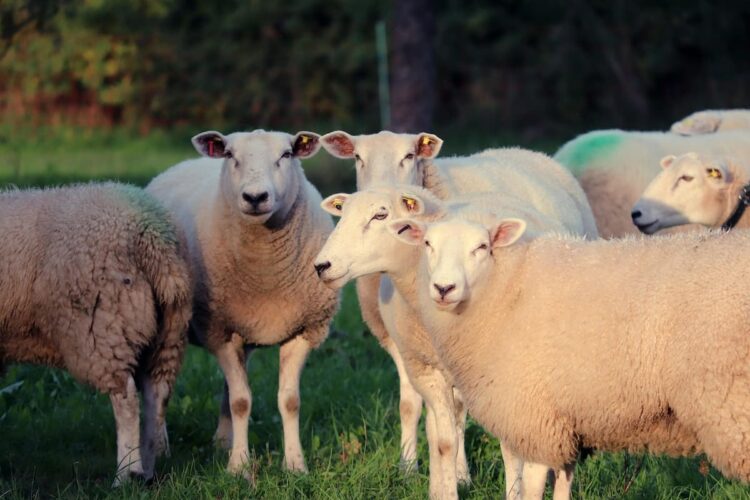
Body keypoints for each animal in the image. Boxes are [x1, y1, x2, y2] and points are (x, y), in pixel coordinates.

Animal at [0, 183, 192, 486]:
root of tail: (154, 240)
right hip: (169, 333)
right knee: (157, 395)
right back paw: (147, 471)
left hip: (103, 329)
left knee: (126, 399)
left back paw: (126, 474)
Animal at [146, 129, 339, 477]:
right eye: (230, 155)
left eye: (286, 154)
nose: (255, 197)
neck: (266, 275)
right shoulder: (218, 330)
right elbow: (241, 402)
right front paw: (238, 466)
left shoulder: (303, 330)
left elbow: (289, 401)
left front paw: (295, 464)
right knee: (159, 386)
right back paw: (162, 445)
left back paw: (223, 441)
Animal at [320, 131, 598, 477]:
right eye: (357, 157)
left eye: (409, 156)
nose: (322, 265)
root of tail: (524, 151)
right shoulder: (406, 347)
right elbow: (414, 407)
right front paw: (411, 467)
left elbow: (464, 416)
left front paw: (462, 474)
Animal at [390, 211, 750, 499]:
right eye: (427, 244)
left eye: (481, 247)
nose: (443, 288)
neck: (506, 287)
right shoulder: (565, 422)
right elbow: (563, 484)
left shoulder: (534, 417)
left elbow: (531, 485)